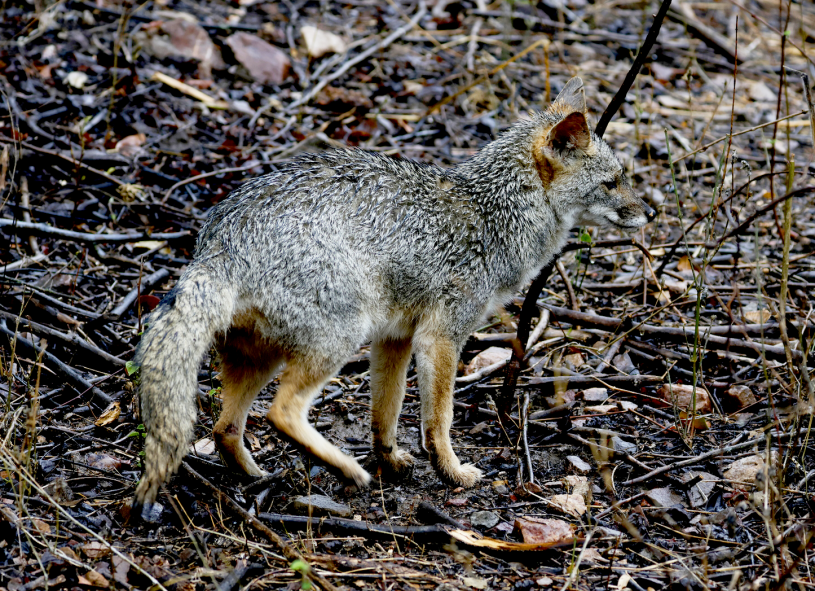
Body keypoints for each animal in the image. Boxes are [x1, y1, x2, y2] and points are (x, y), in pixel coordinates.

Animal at [131, 76, 655, 515]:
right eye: (612, 183)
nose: (650, 213)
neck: (493, 215)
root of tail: (219, 243)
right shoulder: (442, 337)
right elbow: (439, 418)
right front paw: (450, 471)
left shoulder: (395, 339)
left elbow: (386, 411)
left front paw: (391, 461)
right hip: (338, 338)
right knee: (282, 412)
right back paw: (346, 470)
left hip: (263, 358)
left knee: (224, 428)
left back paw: (256, 475)